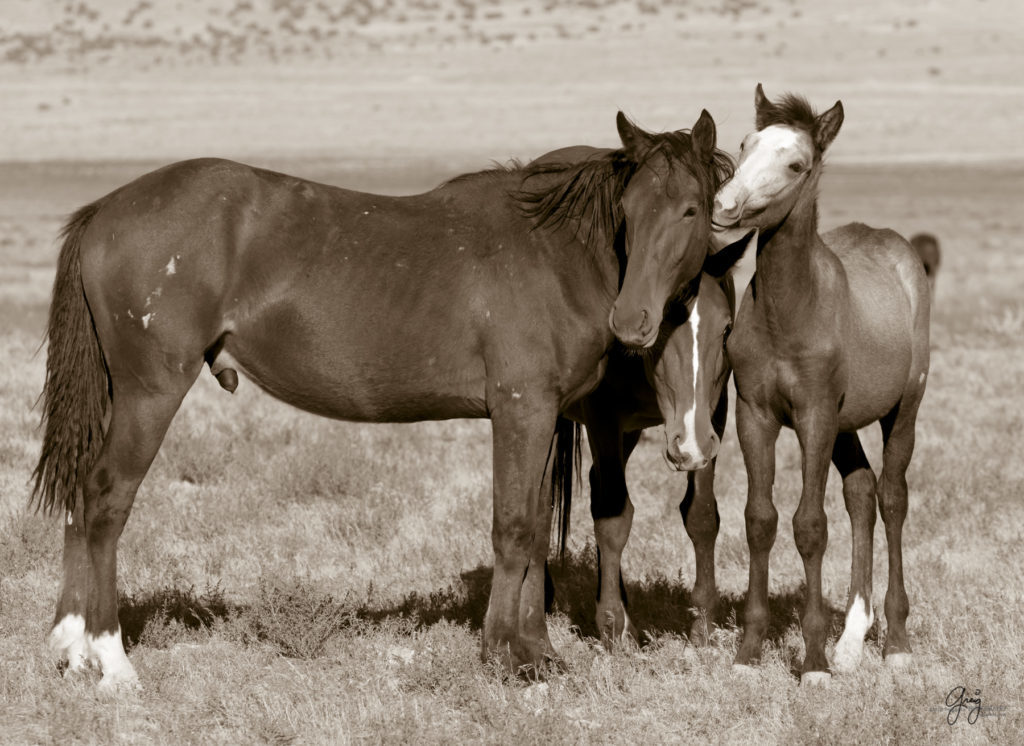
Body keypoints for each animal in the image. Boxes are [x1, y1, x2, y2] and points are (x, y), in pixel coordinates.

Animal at [34, 110, 737, 687]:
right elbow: (512, 529)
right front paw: (500, 655)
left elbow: (536, 530)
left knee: (81, 495)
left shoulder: (545, 418)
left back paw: (71, 648)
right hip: (150, 394)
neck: (554, 255)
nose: (633, 321)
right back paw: (112, 661)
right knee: (106, 500)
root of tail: (107, 210)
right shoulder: (522, 410)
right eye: (631, 211)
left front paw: (537, 654)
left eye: (690, 209)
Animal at [712, 84, 929, 683]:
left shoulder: (813, 415)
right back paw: (852, 641)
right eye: (745, 144)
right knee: (861, 492)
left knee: (892, 498)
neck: (790, 311)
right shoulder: (755, 415)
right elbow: (760, 520)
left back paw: (895, 642)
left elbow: (809, 525)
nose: (724, 206)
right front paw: (749, 652)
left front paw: (811, 663)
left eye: (796, 164)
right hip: (845, 422)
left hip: (901, 407)